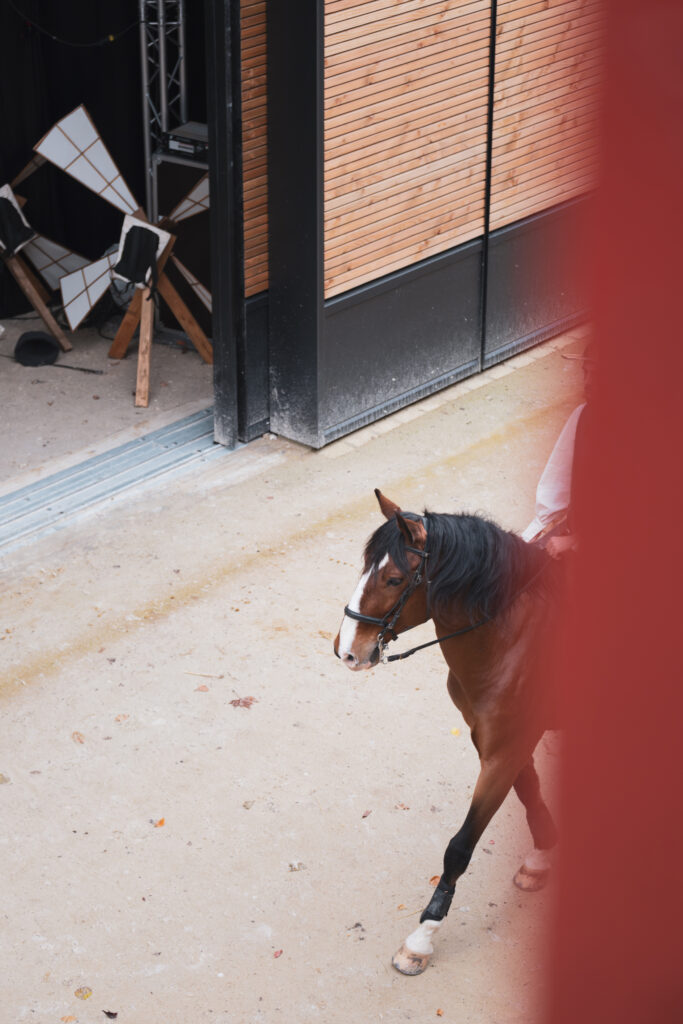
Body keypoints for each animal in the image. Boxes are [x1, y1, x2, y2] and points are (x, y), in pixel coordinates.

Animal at [333, 489, 561, 975]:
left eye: (394, 579)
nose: (346, 650)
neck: (511, 641)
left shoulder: (506, 749)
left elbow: (459, 847)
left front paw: (422, 937)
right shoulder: (496, 740)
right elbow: (530, 790)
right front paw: (541, 857)